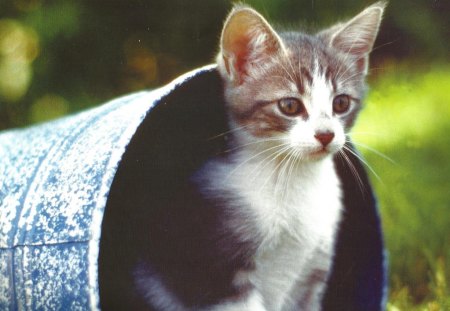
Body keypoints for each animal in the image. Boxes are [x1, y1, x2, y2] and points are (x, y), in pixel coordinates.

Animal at [135, 3, 384, 311]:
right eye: (289, 106)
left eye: (341, 103)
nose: (326, 134)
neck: (291, 178)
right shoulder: (217, 272)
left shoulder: (312, 274)